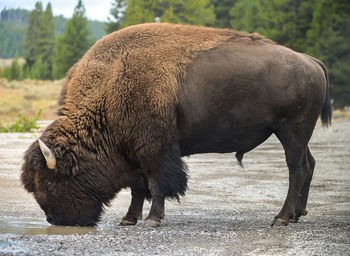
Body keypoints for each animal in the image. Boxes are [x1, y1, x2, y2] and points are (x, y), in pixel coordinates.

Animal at [20, 23, 332, 227]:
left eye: (50, 180)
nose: (55, 220)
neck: (110, 84)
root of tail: (310, 61)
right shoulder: (133, 151)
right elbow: (138, 187)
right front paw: (128, 219)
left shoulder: (154, 149)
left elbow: (156, 183)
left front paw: (152, 220)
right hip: (297, 135)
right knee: (310, 164)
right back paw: (297, 214)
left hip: (291, 130)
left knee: (296, 169)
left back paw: (281, 217)